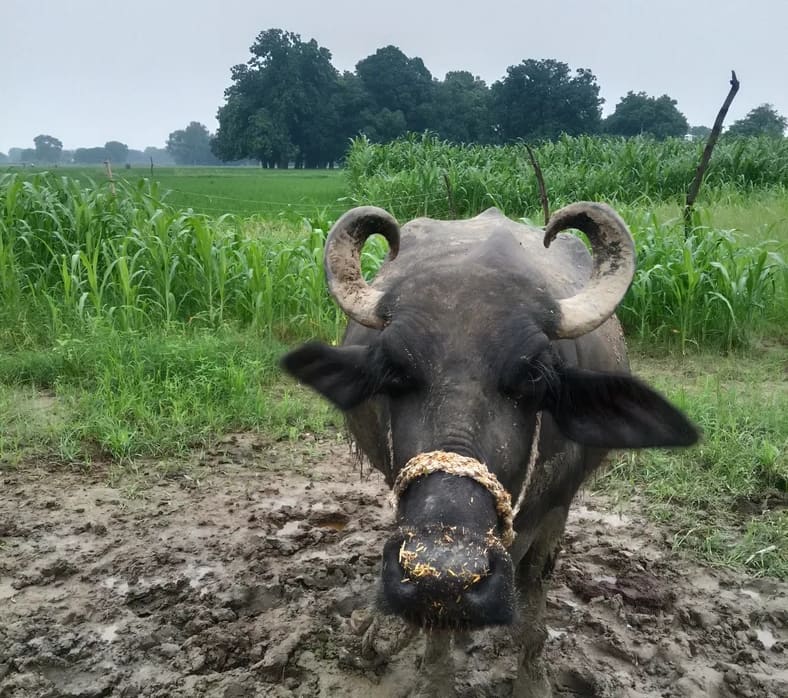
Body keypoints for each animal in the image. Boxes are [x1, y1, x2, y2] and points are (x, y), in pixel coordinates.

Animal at [283, 203, 698, 695]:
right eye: (393, 371)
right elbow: (436, 621)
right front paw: (433, 675)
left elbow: (532, 608)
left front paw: (532, 681)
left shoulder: (556, 510)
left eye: (534, 376)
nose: (449, 567)